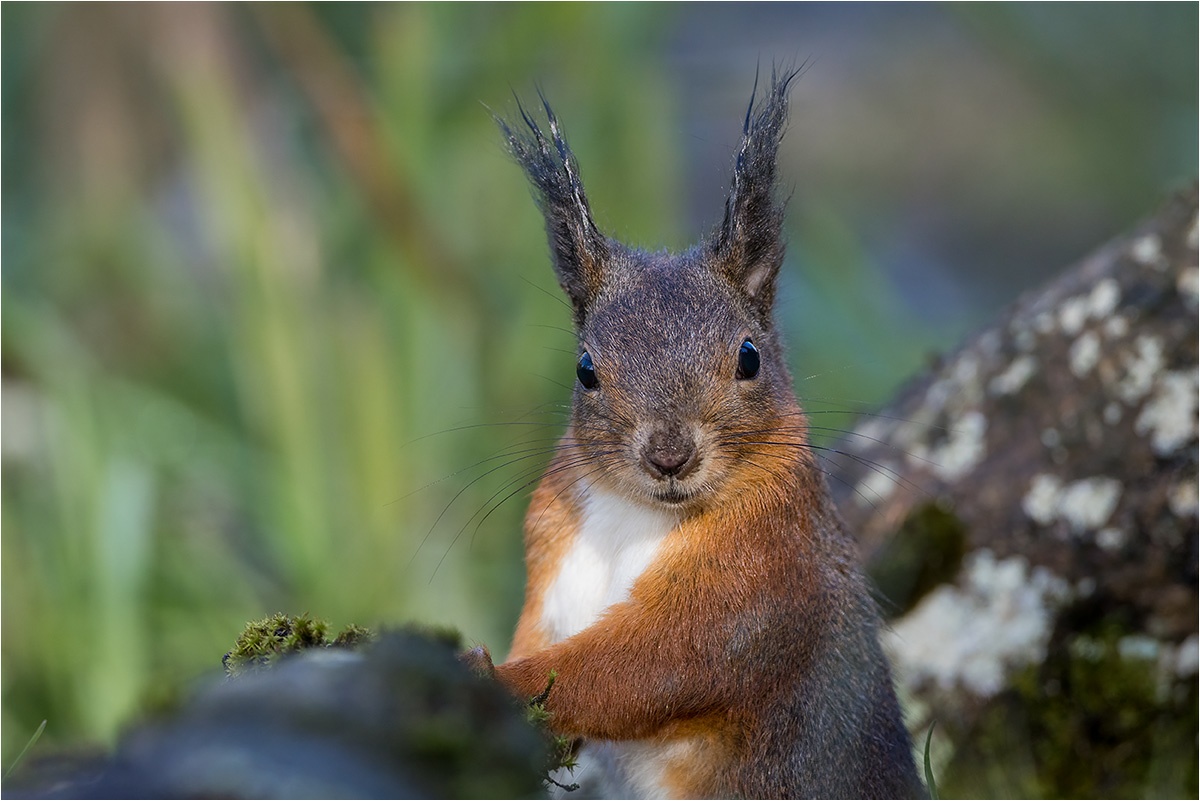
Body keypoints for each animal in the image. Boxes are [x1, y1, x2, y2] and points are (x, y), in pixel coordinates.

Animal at [466, 68, 925, 799]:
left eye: (749, 358)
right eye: (585, 370)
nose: (669, 456)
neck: (634, 516)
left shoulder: (761, 579)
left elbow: (653, 664)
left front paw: (492, 678)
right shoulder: (551, 553)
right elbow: (544, 634)